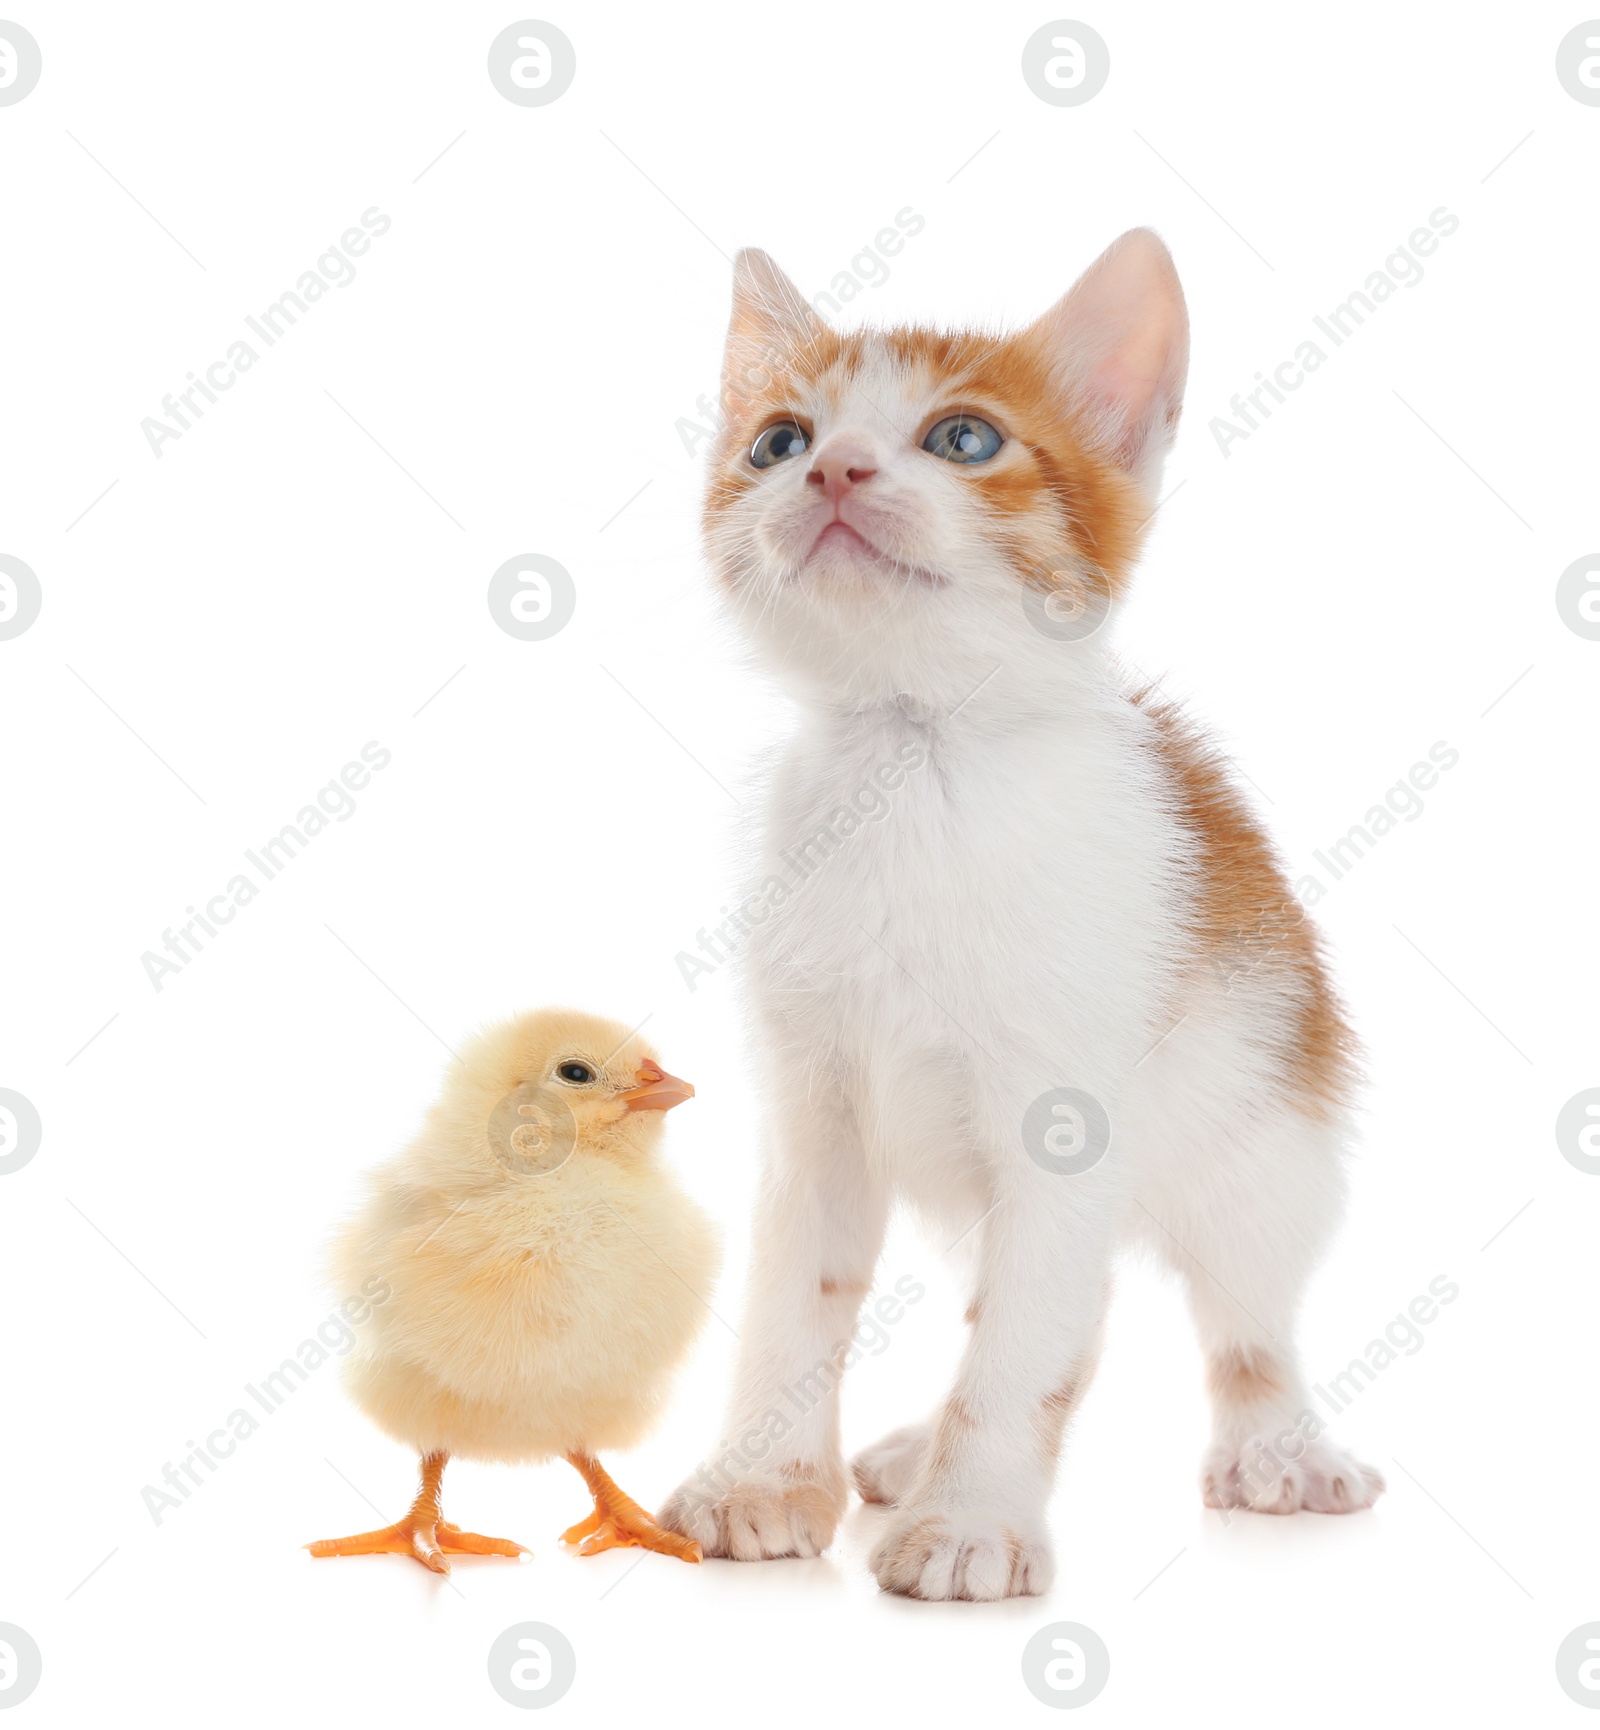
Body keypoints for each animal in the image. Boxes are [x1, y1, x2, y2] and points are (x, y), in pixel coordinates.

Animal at [653, 233, 1376, 1605]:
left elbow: (1030, 1342)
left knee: (1241, 1314)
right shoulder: (811, 1109)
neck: (909, 755)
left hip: (1268, 1126)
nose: (832, 467)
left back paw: (1275, 1444)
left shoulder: (1064, 1115)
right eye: (777, 440)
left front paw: (974, 1518)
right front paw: (763, 1482)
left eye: (965, 438)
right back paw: (908, 1447)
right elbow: (796, 1298)